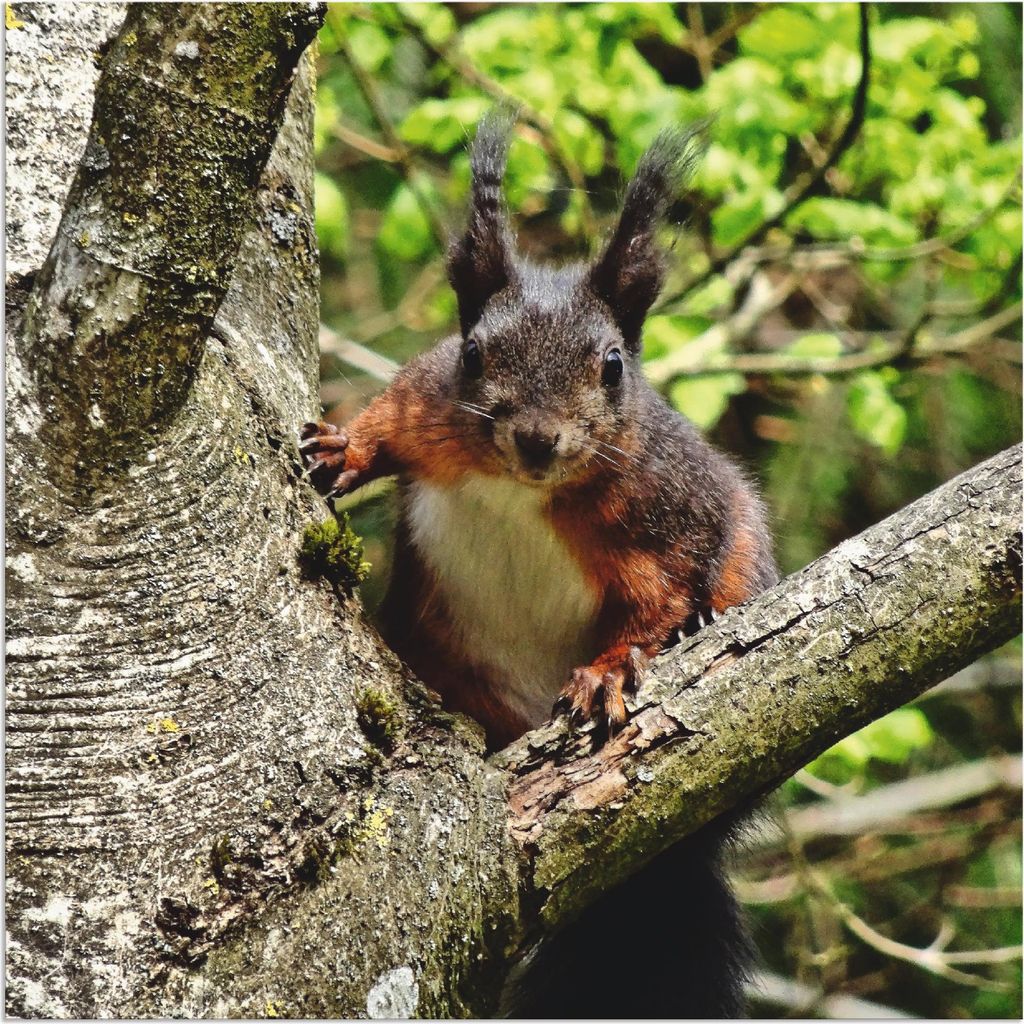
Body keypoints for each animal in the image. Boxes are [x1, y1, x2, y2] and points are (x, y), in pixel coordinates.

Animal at [301, 111, 778, 1017]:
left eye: (612, 366)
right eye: (474, 353)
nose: (536, 438)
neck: (521, 488)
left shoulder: (672, 513)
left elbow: (661, 599)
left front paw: (612, 668)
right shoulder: (428, 403)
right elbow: (392, 417)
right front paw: (347, 447)